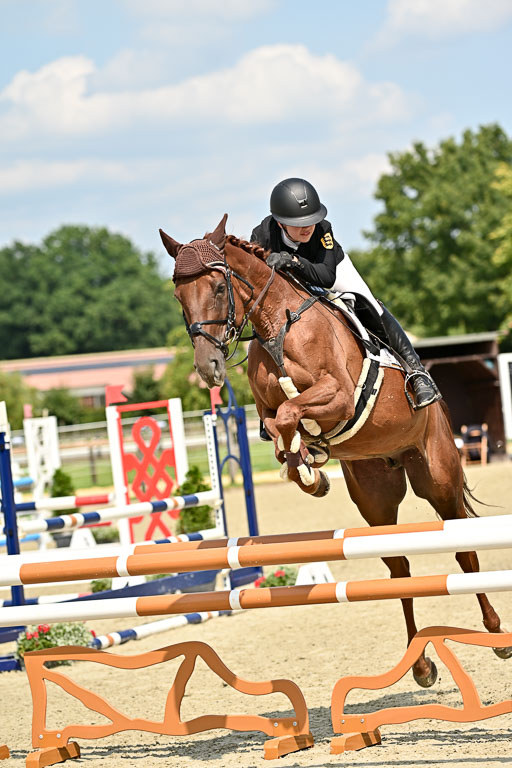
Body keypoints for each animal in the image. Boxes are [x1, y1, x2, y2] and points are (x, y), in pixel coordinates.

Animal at [160, 214, 511, 687]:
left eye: (218, 287)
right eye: (179, 295)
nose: (208, 367)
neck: (276, 325)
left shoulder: (339, 396)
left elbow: (292, 413)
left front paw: (311, 464)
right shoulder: (267, 412)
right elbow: (279, 426)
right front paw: (310, 470)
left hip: (438, 478)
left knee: (465, 551)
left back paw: (496, 634)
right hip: (375, 497)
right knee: (399, 570)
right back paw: (420, 665)